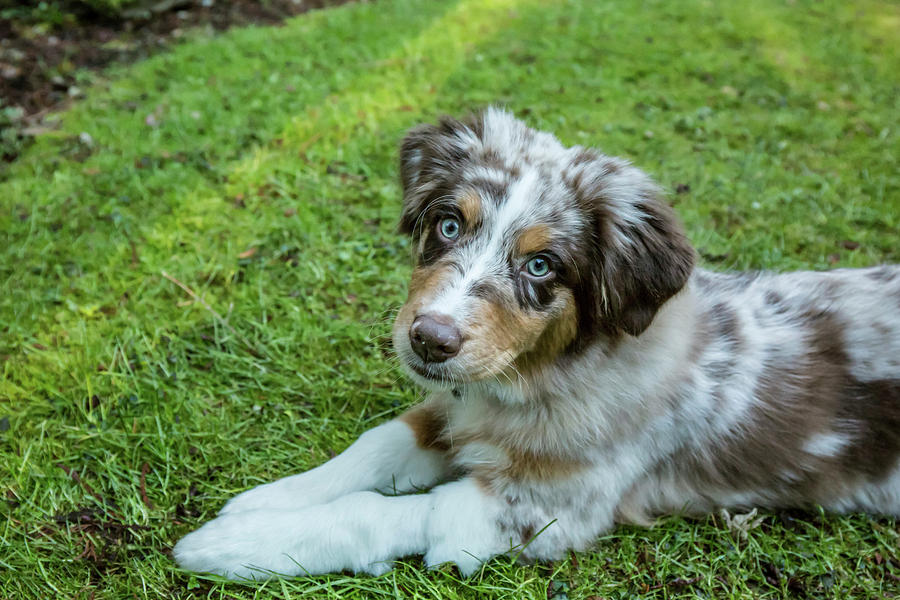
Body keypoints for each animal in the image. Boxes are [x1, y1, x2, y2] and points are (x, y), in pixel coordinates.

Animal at [171, 106, 900, 576]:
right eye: (447, 226)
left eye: (542, 266)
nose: (429, 341)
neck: (535, 378)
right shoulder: (456, 403)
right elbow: (375, 446)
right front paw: (267, 500)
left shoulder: (546, 510)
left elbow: (380, 513)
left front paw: (238, 545)